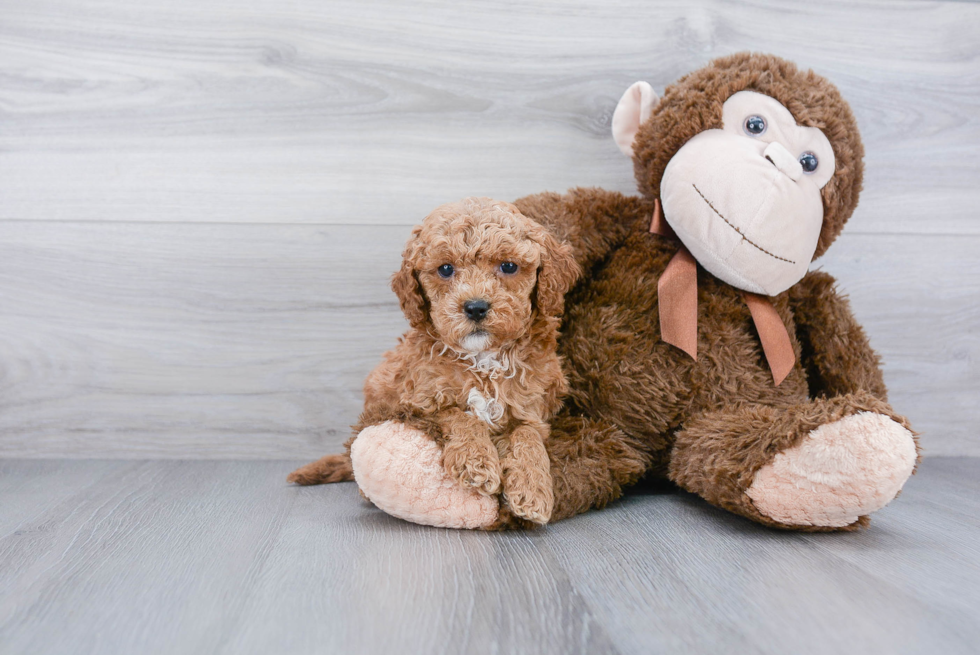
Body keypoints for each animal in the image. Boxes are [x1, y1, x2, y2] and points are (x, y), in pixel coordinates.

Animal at [290, 197, 580, 524]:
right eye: (445, 269)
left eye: (508, 266)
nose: (475, 307)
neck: (483, 359)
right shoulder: (414, 404)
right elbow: (458, 415)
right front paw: (477, 463)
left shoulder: (532, 407)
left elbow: (529, 435)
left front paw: (533, 489)